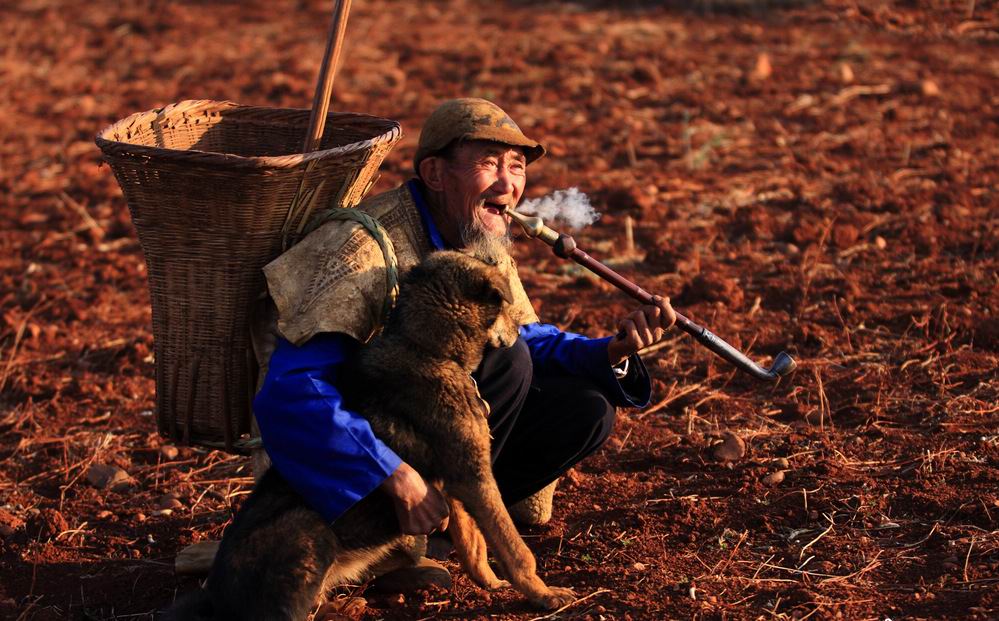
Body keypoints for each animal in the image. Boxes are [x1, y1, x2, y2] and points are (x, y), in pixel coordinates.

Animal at [167, 252, 576, 620]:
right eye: (504, 305)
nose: (524, 331)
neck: (425, 348)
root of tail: (215, 597)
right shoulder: (475, 477)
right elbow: (515, 548)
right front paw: (544, 594)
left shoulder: (458, 482)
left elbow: (474, 545)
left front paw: (492, 584)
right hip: (310, 536)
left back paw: (347, 605)